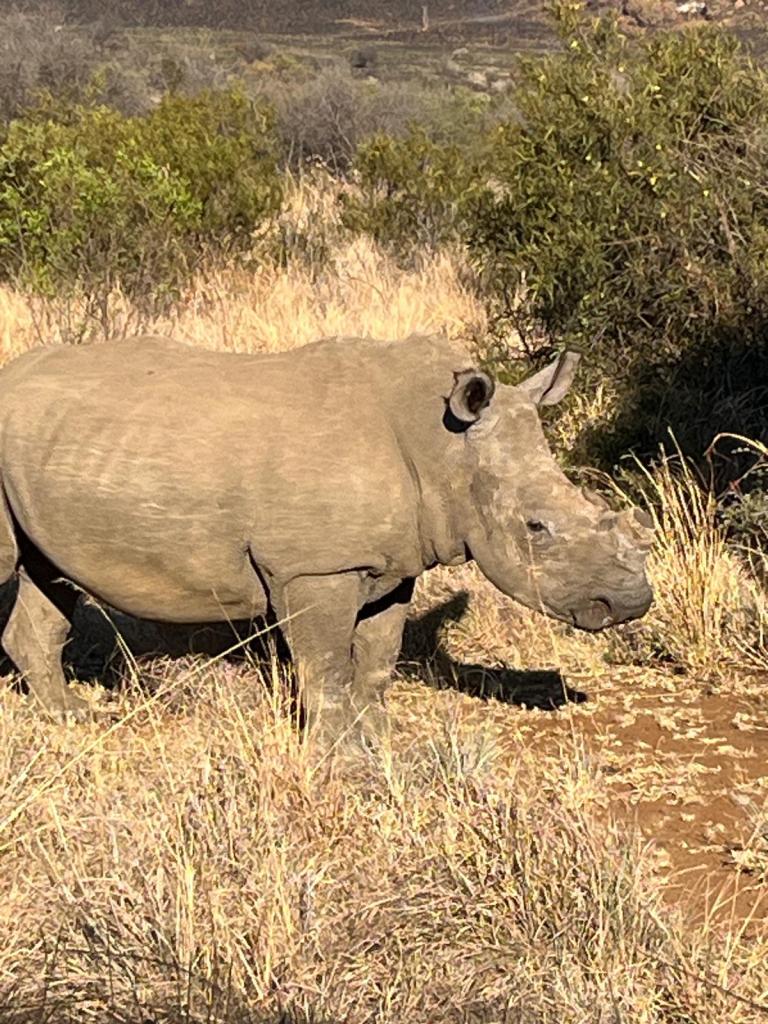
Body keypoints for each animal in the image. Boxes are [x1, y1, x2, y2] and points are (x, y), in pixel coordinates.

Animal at [0, 333, 653, 744]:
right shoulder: (316, 568)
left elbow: (378, 657)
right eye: (536, 528)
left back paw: (71, 717)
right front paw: (342, 757)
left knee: (46, 577)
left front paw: (383, 737)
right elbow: (327, 666)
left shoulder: (393, 562)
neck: (442, 447)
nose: (632, 602)